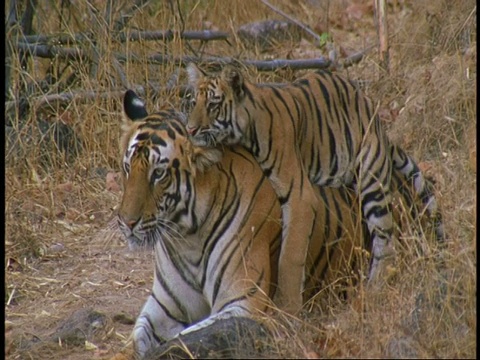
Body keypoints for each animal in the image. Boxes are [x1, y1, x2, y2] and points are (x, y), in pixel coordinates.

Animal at [117, 89, 372, 358]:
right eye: (127, 167)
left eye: (158, 174)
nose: (126, 222)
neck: (187, 236)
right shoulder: (163, 309)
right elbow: (136, 339)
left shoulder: (243, 302)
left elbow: (185, 337)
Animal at [186, 63, 444, 314]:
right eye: (192, 103)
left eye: (212, 105)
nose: (190, 130)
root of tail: (372, 109)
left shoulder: (299, 195)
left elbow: (290, 256)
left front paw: (286, 307)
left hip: (372, 178)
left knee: (385, 239)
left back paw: (374, 289)